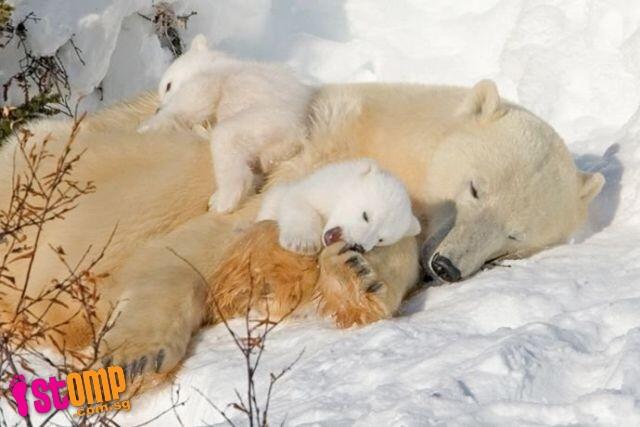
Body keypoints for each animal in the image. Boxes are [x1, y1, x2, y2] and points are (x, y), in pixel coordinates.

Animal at [138, 34, 312, 214]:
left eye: (168, 86)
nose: (157, 109)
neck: (219, 62)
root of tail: (297, 137)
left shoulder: (212, 77)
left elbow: (195, 101)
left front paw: (147, 126)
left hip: (266, 122)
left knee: (227, 140)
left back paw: (222, 201)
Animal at [258, 160, 422, 254]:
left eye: (381, 239)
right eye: (366, 216)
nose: (358, 246)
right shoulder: (319, 188)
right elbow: (298, 201)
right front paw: (301, 243)